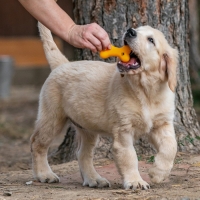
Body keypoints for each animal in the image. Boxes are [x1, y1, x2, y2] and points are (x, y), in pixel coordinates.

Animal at [31, 22, 178, 190]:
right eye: (137, 29)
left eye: (151, 40)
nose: (130, 31)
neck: (146, 91)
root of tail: (62, 64)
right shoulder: (123, 130)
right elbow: (129, 157)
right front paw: (135, 181)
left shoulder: (161, 124)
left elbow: (171, 146)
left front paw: (158, 174)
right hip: (53, 118)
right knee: (37, 144)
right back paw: (44, 174)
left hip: (87, 128)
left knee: (82, 153)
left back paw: (94, 179)